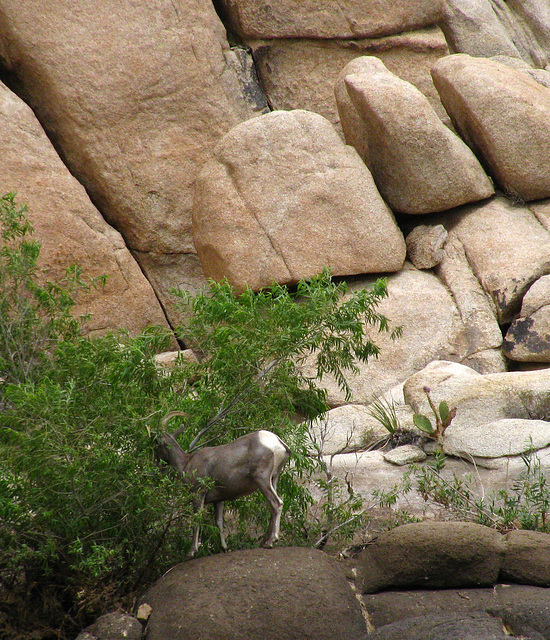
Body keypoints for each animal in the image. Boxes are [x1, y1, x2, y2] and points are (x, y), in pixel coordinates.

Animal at [156, 412, 294, 556]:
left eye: (156, 443)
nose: (159, 466)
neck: (186, 463)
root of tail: (278, 442)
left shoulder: (198, 493)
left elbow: (196, 519)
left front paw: (191, 552)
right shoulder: (218, 500)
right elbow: (219, 522)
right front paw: (224, 548)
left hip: (262, 479)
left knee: (277, 503)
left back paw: (270, 542)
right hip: (273, 479)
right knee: (273, 507)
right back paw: (265, 542)